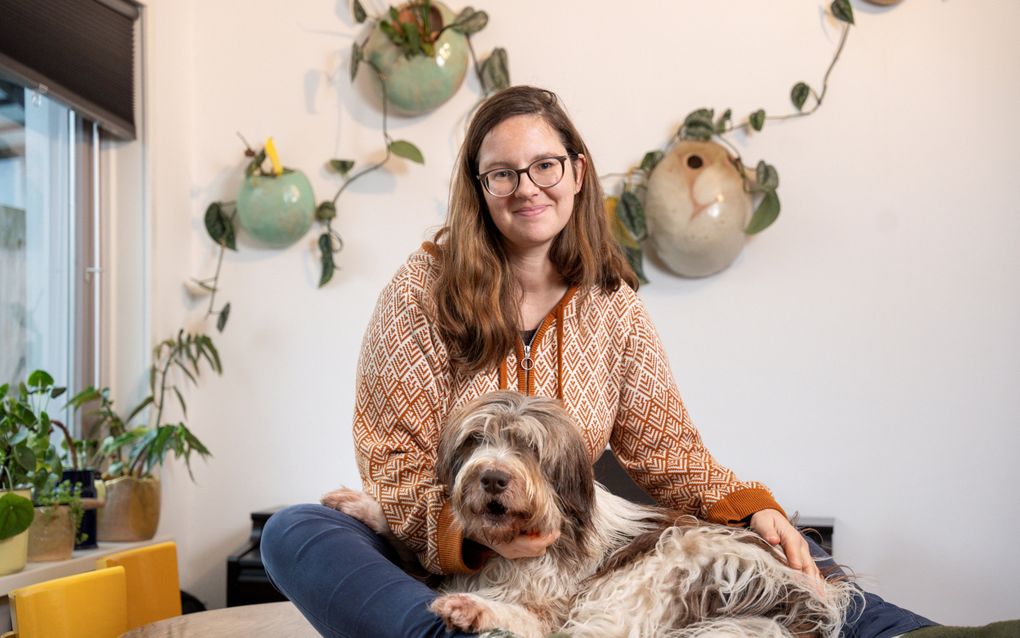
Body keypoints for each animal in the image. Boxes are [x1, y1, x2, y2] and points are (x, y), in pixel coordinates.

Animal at [322, 389, 856, 632]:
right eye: (476, 439)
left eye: (531, 448)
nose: (492, 477)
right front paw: (361, 504)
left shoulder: (560, 601)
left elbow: (536, 621)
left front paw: (476, 605)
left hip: (648, 575)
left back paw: (471, 609)